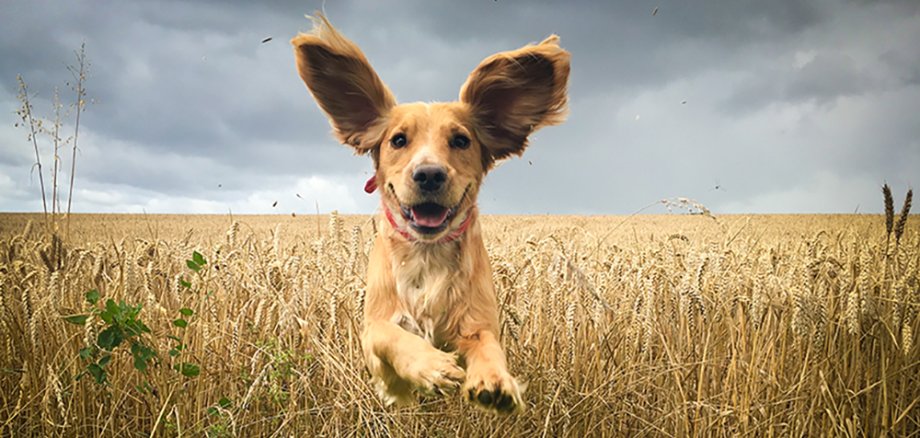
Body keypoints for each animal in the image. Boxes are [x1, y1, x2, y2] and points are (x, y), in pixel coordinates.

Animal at [292, 12, 568, 410]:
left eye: (461, 140)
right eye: (398, 140)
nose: (429, 174)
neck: (427, 255)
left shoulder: (478, 322)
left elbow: (489, 347)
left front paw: (495, 381)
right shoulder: (372, 331)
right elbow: (392, 336)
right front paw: (432, 367)